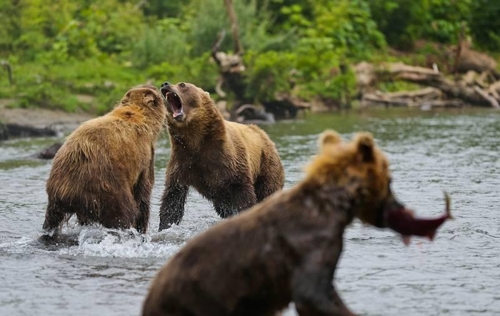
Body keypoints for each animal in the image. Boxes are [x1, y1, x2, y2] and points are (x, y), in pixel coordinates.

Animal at [41, 84, 166, 235]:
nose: (162, 85)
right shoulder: (144, 156)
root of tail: (69, 191)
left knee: (52, 218)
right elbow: (143, 192)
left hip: (57, 192)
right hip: (105, 184)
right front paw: (141, 227)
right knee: (122, 212)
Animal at [160, 81, 286, 230]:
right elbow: (172, 199)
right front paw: (165, 226)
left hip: (266, 164)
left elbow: (244, 195)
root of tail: (263, 134)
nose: (165, 84)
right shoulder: (182, 161)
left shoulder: (230, 161)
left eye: (182, 84)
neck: (196, 140)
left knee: (269, 191)